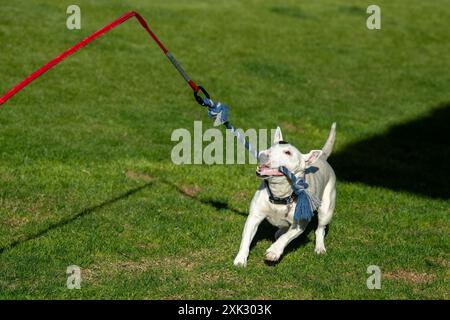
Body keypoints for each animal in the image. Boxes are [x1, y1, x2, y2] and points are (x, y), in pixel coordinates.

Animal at [234, 124, 336, 266]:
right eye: (271, 147)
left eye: (288, 153)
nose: (263, 154)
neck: (280, 194)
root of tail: (322, 158)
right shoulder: (254, 217)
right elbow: (246, 238)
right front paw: (240, 260)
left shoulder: (299, 225)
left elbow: (286, 238)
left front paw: (273, 252)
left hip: (327, 209)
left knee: (320, 229)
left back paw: (320, 248)